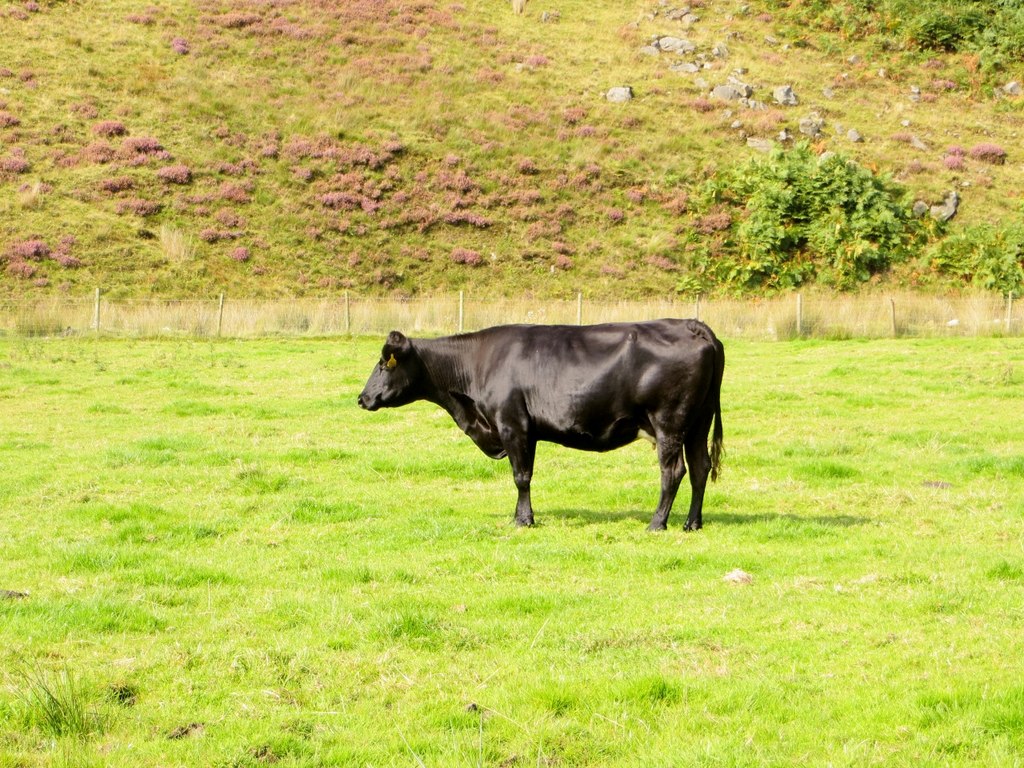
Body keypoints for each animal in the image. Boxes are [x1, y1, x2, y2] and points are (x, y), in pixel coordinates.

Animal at [356, 319, 724, 528]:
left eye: (384, 364)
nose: (362, 398)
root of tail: (692, 325)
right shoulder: (527, 430)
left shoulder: (512, 424)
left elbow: (521, 477)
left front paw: (523, 520)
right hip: (698, 422)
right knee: (700, 467)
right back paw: (692, 523)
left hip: (669, 422)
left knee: (674, 471)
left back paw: (657, 523)